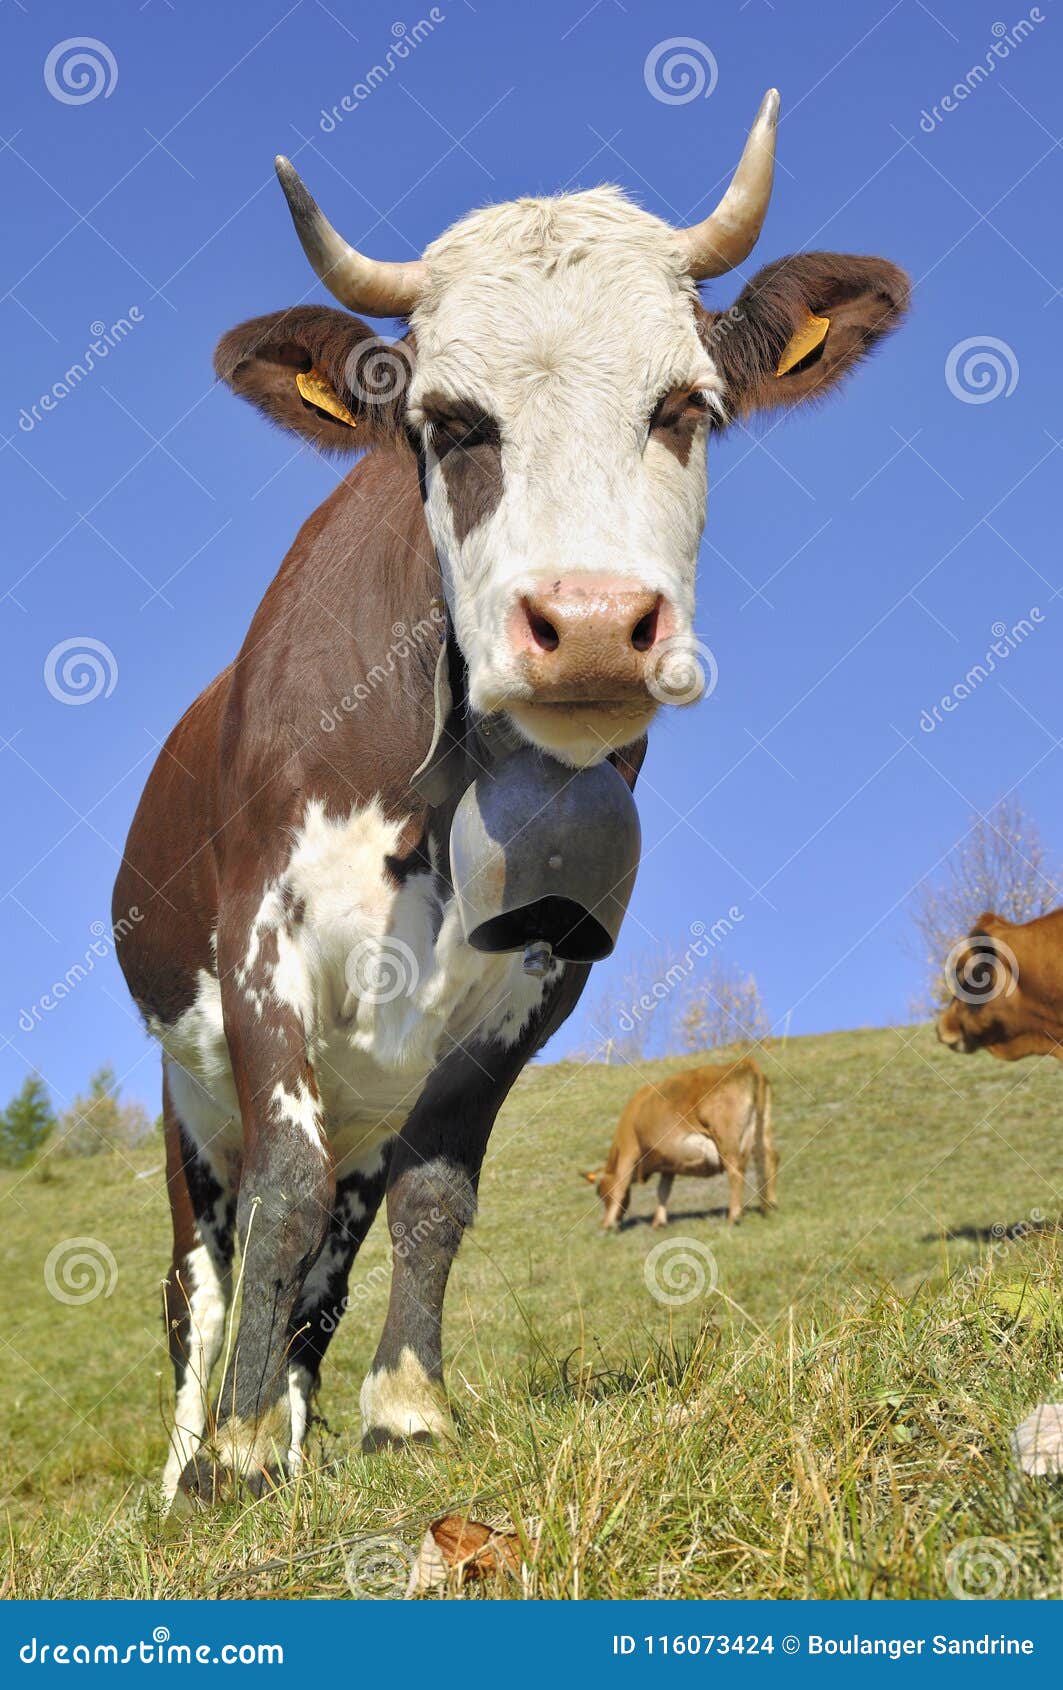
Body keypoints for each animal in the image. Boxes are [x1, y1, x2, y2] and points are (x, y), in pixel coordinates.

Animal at [584, 1058, 776, 1230]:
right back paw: (770, 1206)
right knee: (768, 1160)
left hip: (727, 1140)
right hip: (761, 1131)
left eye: (600, 1191)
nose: (615, 1218)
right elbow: (663, 1190)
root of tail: (743, 1063)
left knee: (736, 1171)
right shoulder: (669, 1162)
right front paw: (659, 1222)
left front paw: (607, 1225)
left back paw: (734, 1216)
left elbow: (620, 1185)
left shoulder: (629, 1151)